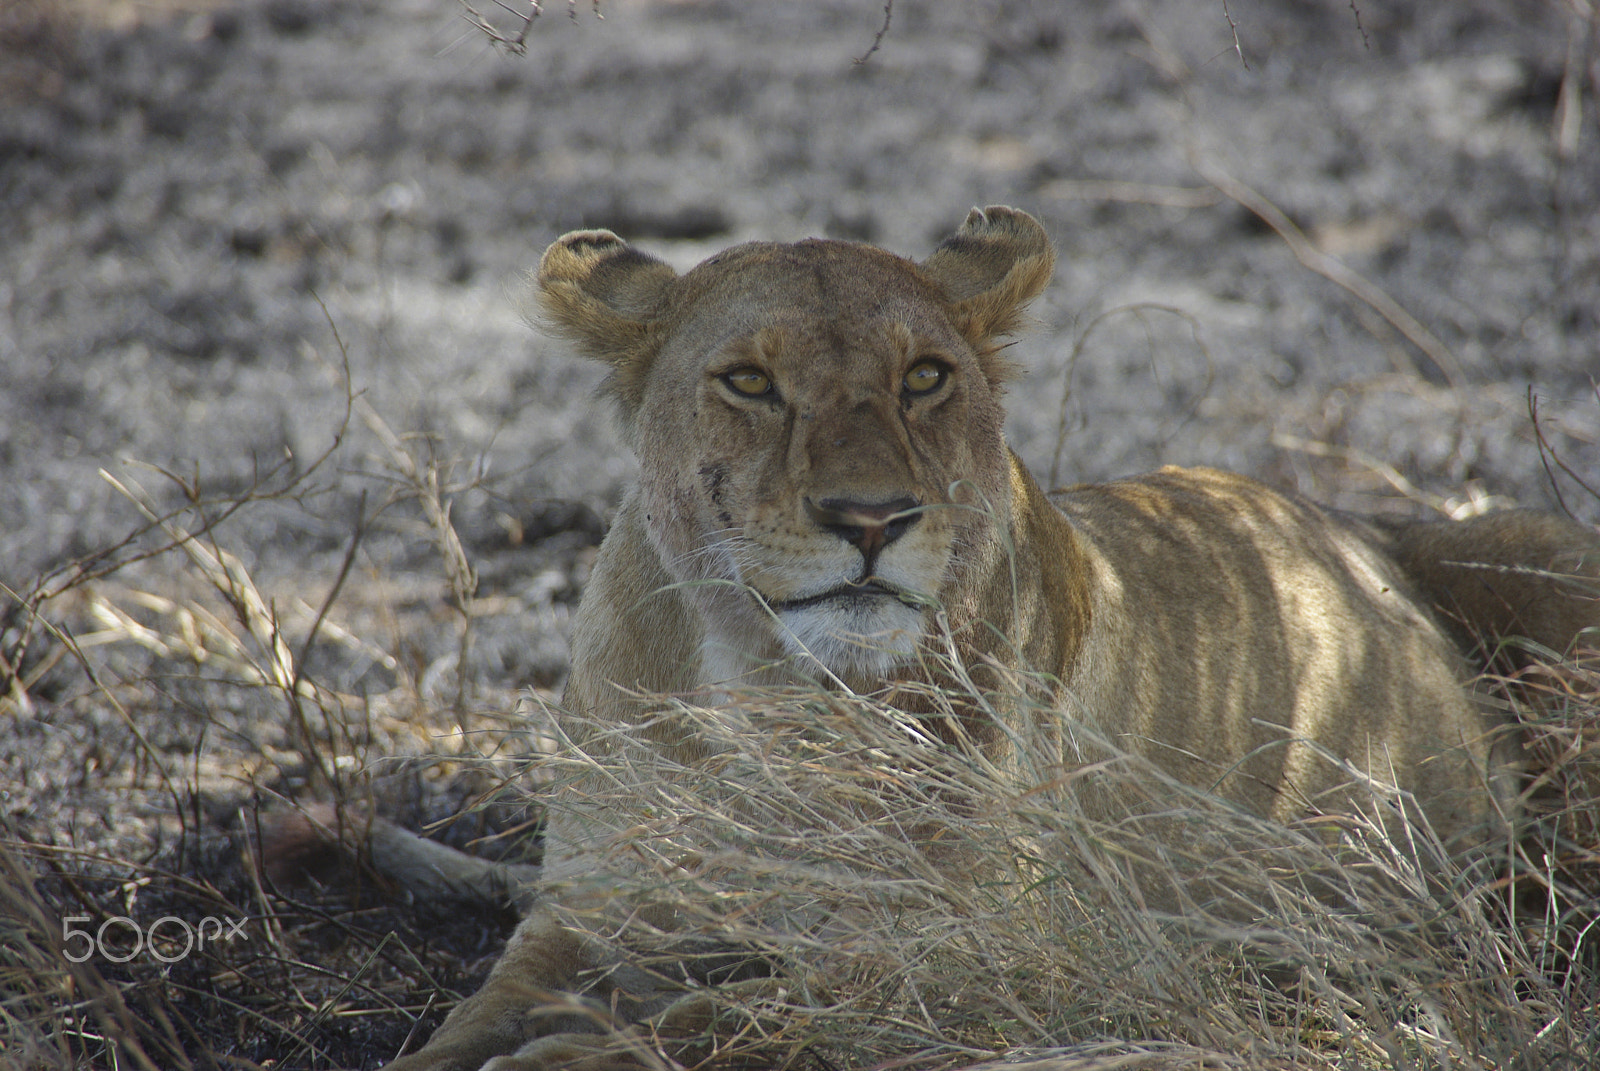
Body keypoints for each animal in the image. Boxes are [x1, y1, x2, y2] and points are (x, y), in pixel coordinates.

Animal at [367, 206, 1599, 1071]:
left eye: (925, 378)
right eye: (750, 383)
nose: (871, 519)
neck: (763, 686)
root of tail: (1362, 523)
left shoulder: (984, 955)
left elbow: (736, 1008)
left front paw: (573, 1055)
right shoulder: (592, 911)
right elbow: (481, 1014)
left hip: (1547, 555)